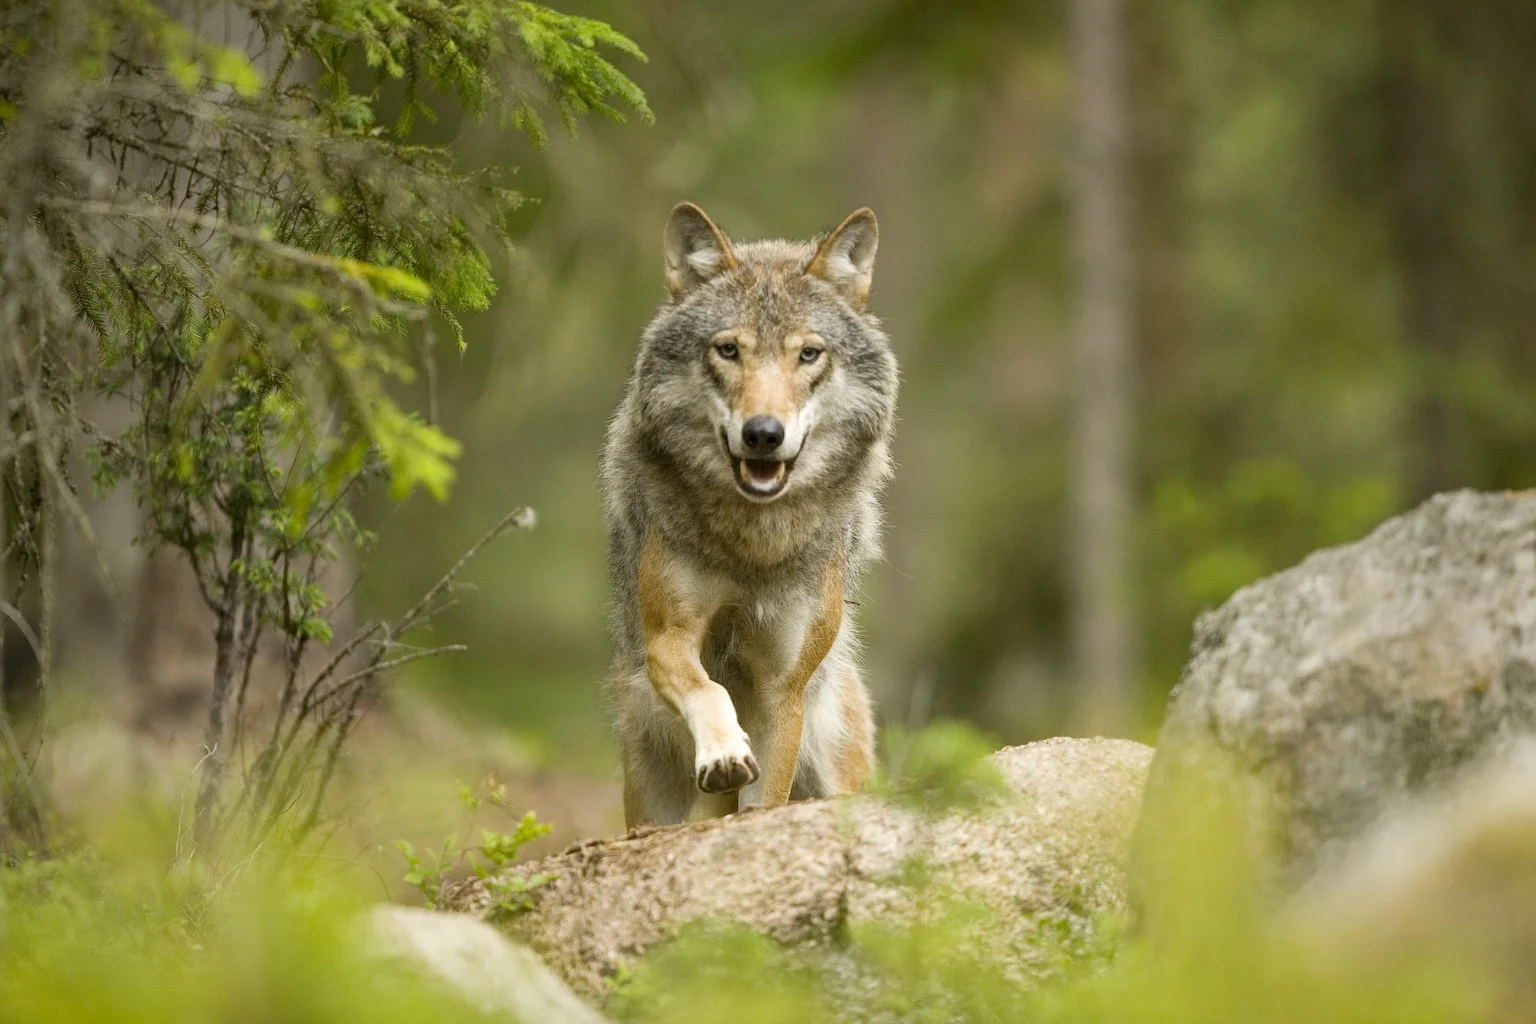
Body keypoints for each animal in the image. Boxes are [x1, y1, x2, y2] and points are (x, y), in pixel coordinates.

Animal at [601, 202, 900, 828]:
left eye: (808, 353)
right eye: (728, 350)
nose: (764, 434)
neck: (755, 543)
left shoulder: (782, 689)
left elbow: (765, 802)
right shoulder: (668, 638)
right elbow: (709, 690)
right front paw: (723, 752)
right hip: (648, 790)